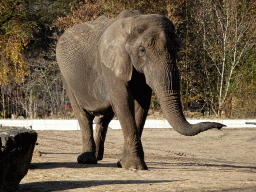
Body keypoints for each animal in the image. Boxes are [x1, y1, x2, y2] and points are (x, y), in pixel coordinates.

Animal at [56, 10, 224, 170]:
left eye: (177, 48)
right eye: (142, 50)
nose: (221, 126)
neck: (133, 21)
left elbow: (141, 104)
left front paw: (123, 164)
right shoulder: (112, 64)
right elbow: (123, 101)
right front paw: (133, 167)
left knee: (105, 116)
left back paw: (97, 157)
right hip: (67, 77)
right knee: (83, 116)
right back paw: (87, 160)